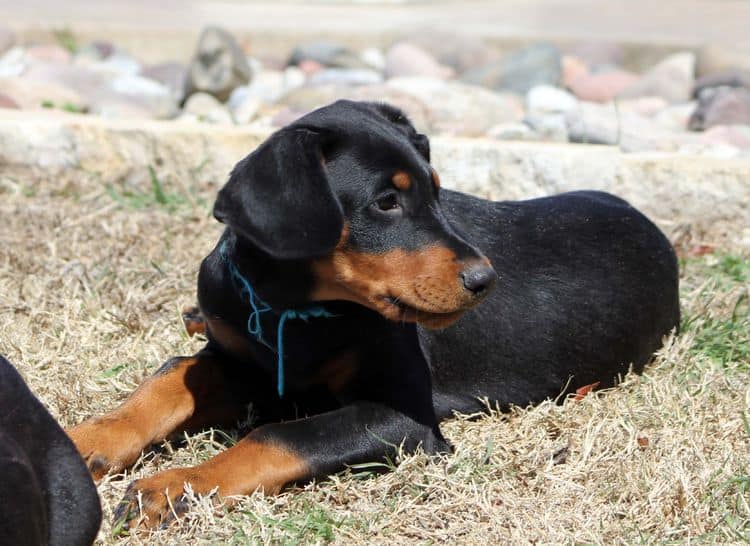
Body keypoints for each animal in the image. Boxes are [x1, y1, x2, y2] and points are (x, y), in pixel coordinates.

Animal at [69, 101, 680, 528]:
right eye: (386, 202)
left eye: (437, 193)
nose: (485, 280)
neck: (294, 307)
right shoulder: (242, 360)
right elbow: (169, 379)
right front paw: (87, 439)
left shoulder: (402, 418)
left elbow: (281, 436)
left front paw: (177, 485)